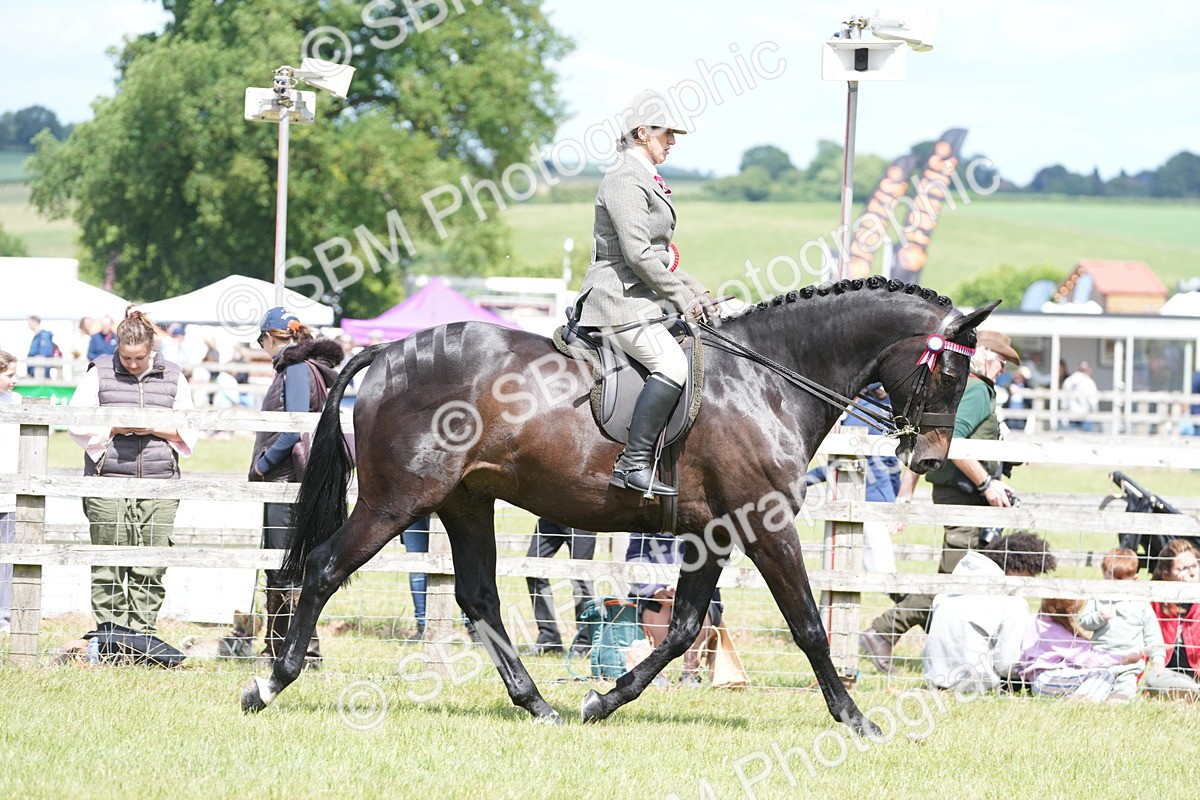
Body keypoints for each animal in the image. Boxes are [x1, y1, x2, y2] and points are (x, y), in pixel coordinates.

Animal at [241, 277, 997, 735]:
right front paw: (856, 719)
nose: (930, 458)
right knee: (322, 569)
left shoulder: (713, 534)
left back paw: (539, 705)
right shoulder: (763, 523)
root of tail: (389, 351)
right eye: (953, 368)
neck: (768, 381)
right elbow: (809, 626)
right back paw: (269, 683)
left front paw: (602, 700)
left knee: (480, 597)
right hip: (398, 500)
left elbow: (685, 628)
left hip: (466, 502)